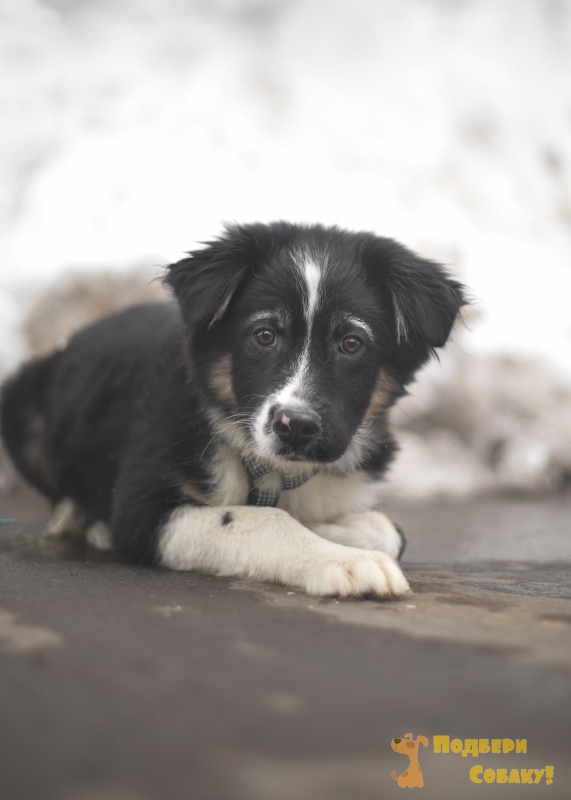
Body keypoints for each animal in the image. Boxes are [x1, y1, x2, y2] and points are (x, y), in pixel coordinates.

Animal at [1, 222, 465, 598]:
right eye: (265, 335)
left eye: (352, 343)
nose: (296, 427)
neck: (271, 470)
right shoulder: (141, 512)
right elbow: (261, 520)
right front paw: (343, 560)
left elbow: (386, 530)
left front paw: (333, 533)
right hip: (22, 403)